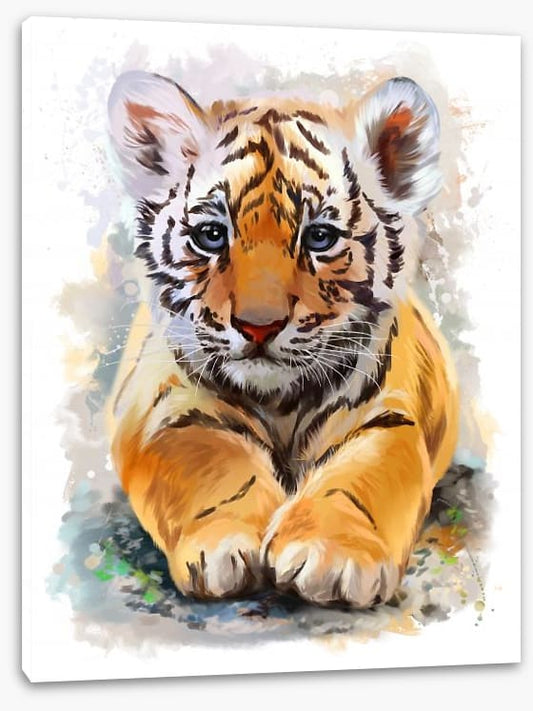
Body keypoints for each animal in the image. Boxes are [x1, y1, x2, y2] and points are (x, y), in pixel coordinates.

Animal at [105, 70, 459, 608]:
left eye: (319, 237)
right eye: (211, 235)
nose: (259, 325)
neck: (281, 403)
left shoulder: (388, 415)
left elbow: (359, 481)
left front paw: (332, 556)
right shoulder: (167, 408)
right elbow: (215, 465)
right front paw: (227, 542)